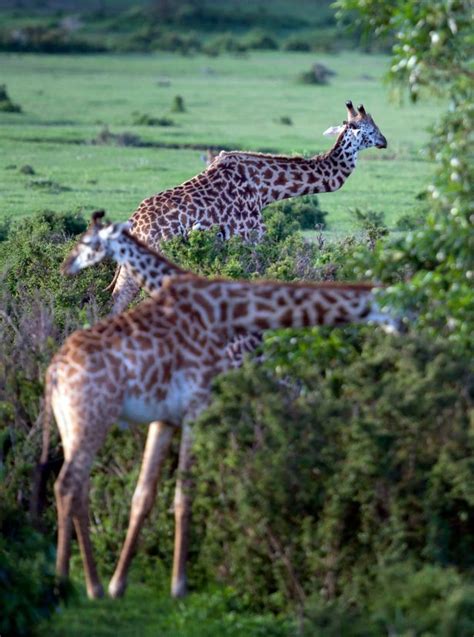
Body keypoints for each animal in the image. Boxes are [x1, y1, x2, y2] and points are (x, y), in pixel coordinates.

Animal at [112, 100, 388, 316]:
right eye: (371, 129)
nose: (384, 141)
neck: (265, 189)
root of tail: (133, 224)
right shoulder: (251, 238)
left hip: (130, 267)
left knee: (115, 301)